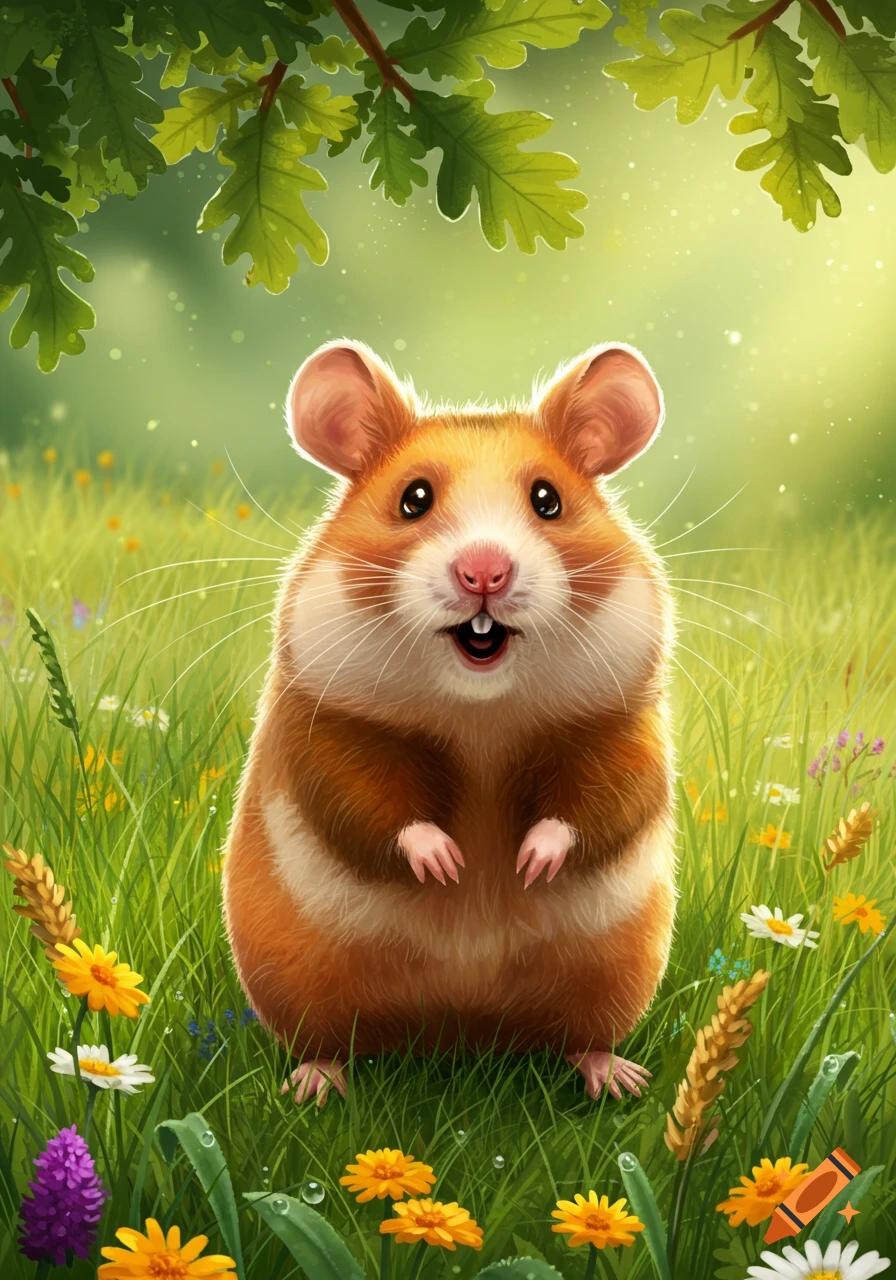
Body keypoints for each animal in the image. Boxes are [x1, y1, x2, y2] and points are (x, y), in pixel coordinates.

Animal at [222, 339, 676, 1105]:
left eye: (548, 499)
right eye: (414, 498)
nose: (484, 571)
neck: (479, 716)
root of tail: (457, 1038)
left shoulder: (624, 725)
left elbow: (608, 796)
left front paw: (528, 863)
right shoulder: (322, 726)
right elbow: (362, 800)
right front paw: (448, 865)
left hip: (614, 972)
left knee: (581, 1035)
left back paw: (619, 1080)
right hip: (296, 974)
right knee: (328, 1040)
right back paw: (314, 1086)